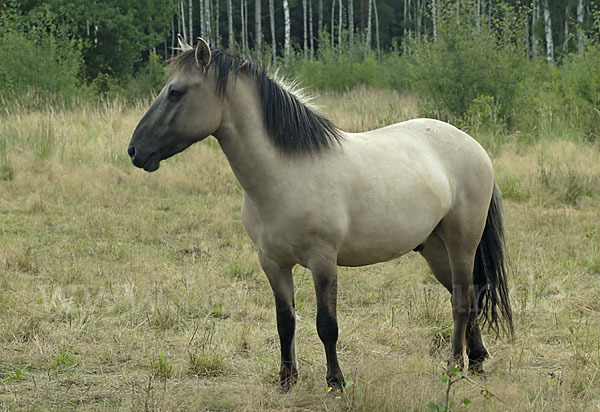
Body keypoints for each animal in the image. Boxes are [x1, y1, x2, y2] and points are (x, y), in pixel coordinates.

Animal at [129, 37, 512, 392]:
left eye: (176, 93)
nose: (134, 150)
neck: (285, 175)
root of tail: (473, 146)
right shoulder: (272, 263)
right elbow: (285, 322)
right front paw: (286, 380)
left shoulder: (323, 261)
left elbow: (327, 325)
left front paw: (335, 382)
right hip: (433, 247)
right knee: (469, 294)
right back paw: (477, 360)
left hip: (461, 243)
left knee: (461, 299)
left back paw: (454, 365)